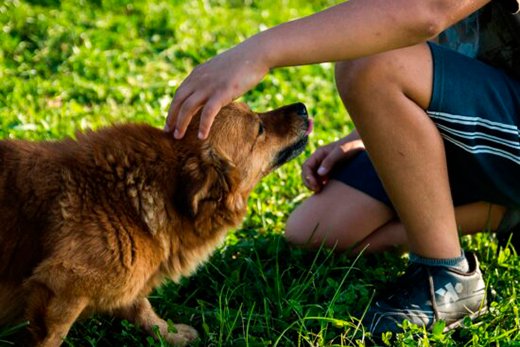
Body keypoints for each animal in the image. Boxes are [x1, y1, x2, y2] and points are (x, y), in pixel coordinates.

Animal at [0, 102, 310, 346]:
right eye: (259, 128)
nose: (302, 107)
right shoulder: (61, 287)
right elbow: (52, 336)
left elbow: (141, 307)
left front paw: (168, 333)